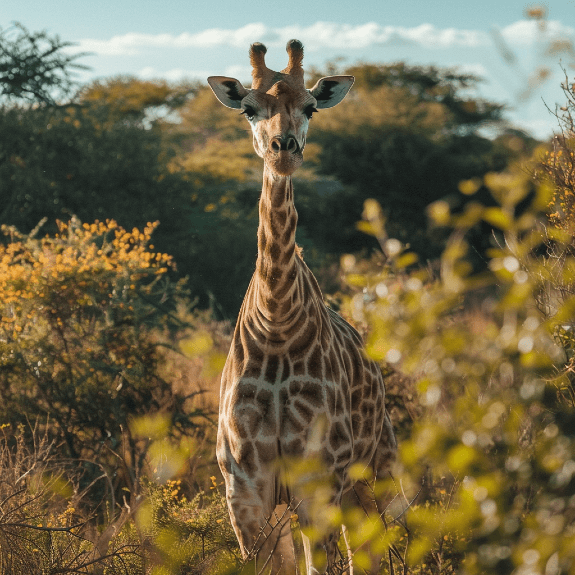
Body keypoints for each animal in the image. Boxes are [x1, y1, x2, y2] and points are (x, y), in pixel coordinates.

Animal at [209, 39, 398, 572]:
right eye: (249, 108)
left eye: (311, 106)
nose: (284, 149)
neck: (276, 322)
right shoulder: (245, 493)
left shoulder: (318, 484)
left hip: (377, 475)